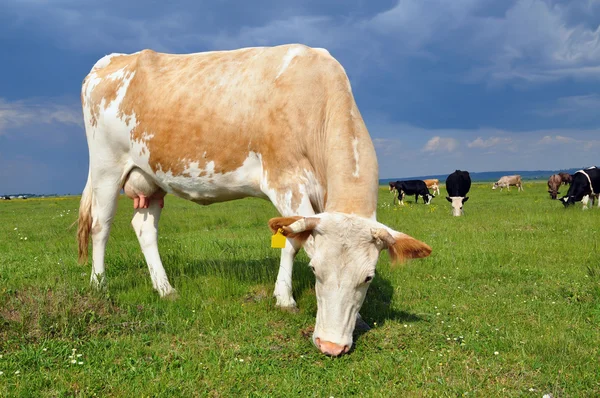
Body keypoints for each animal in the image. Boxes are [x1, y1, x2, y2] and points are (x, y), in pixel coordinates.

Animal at [78, 44, 432, 358]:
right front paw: (284, 299)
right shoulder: (285, 183)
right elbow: (292, 242)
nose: (331, 346)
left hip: (150, 179)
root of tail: (113, 59)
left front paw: (357, 318)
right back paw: (99, 285)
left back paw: (165, 289)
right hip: (106, 168)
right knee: (100, 226)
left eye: (368, 277)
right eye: (315, 271)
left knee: (144, 228)